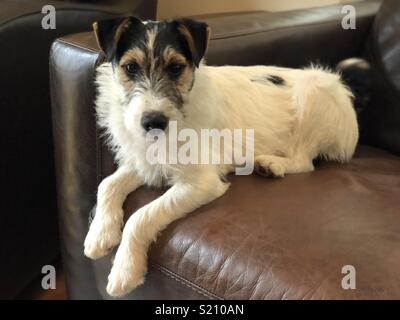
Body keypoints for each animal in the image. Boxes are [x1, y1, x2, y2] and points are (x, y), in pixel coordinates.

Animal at [83, 16, 358, 296]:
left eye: (176, 68)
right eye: (130, 67)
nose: (154, 122)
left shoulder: (201, 182)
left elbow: (141, 216)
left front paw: (125, 269)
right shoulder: (144, 162)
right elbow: (107, 184)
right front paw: (100, 234)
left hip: (312, 94)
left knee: (305, 161)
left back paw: (271, 164)